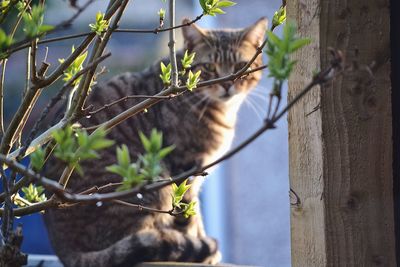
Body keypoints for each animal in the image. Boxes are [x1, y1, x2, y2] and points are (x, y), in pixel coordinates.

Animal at [43, 17, 268, 266]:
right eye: (209, 67)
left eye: (240, 66)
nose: (228, 84)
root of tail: (63, 249)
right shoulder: (185, 167)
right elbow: (188, 216)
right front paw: (200, 249)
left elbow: (195, 214)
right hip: (147, 180)